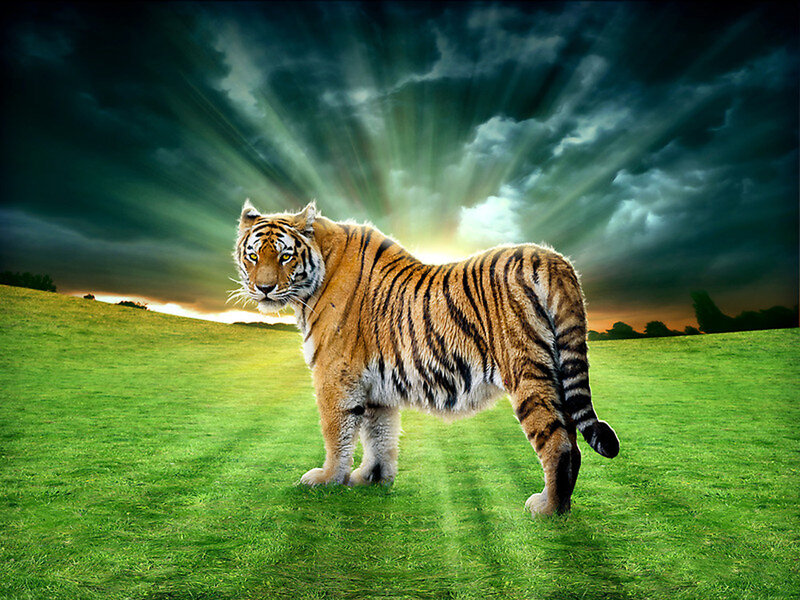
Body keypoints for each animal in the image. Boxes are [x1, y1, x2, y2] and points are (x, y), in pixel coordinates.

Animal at [233, 200, 619, 516]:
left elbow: (336, 431)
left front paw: (328, 478)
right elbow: (379, 435)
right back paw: (562, 505)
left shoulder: (334, 374)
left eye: (285, 256)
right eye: (253, 255)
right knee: (572, 438)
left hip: (526, 372)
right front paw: (372, 479)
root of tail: (551, 258)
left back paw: (547, 509)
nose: (263, 288)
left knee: (559, 442)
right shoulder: (375, 388)